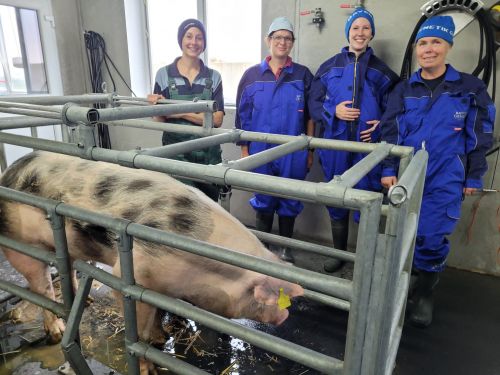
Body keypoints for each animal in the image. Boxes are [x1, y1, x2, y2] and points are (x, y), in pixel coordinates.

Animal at [0, 151, 304, 374]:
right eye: (262, 295)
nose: (285, 314)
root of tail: (10, 171)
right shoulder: (133, 275)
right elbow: (141, 335)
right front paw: (151, 363)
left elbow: (158, 312)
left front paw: (161, 336)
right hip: (20, 245)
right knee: (41, 288)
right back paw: (55, 332)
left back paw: (83, 302)